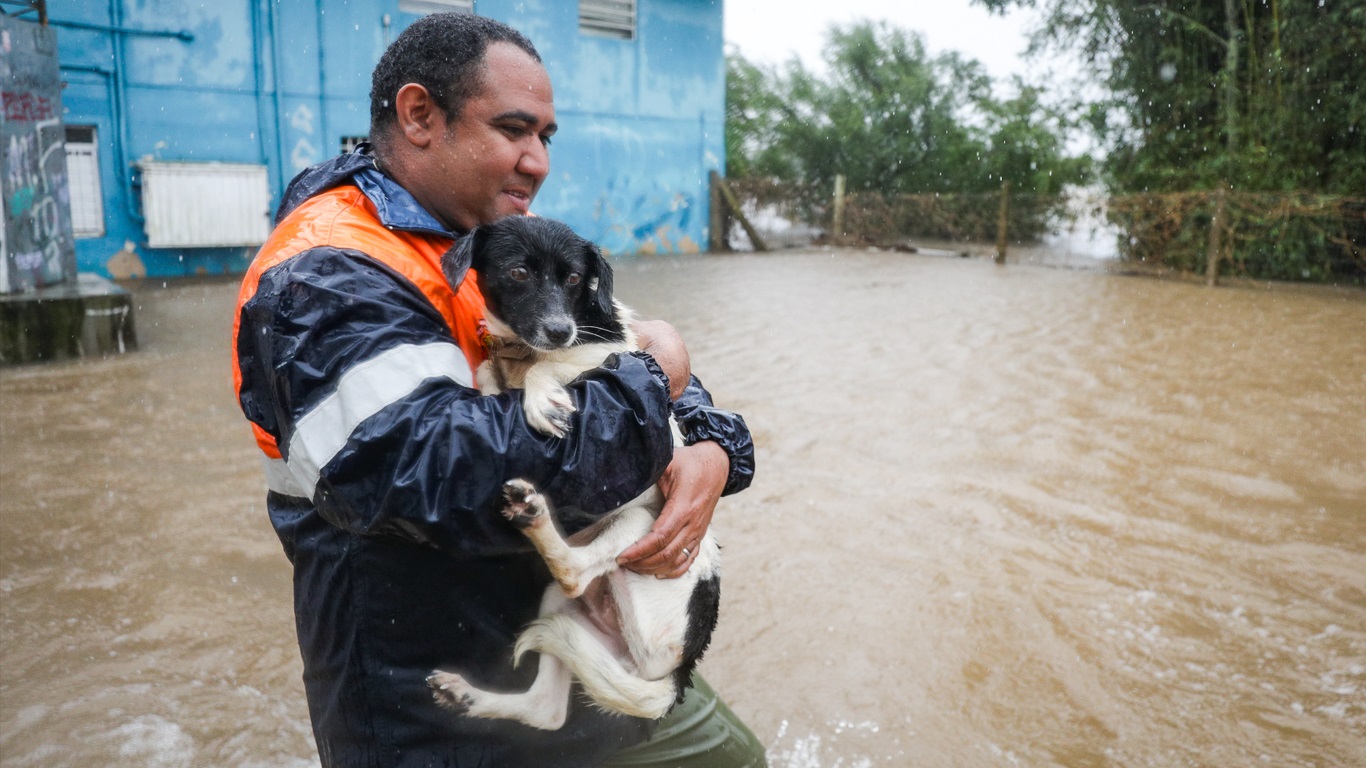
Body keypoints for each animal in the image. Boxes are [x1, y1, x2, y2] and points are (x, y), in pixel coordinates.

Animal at [428, 215, 726, 727]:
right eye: (518, 273)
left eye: (573, 279)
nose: (559, 330)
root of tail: (680, 669)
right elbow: (489, 371)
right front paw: (502, 382)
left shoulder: (608, 363)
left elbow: (542, 370)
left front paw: (541, 395)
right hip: (564, 607)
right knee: (546, 709)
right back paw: (466, 696)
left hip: (640, 526)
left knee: (574, 569)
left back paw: (532, 514)